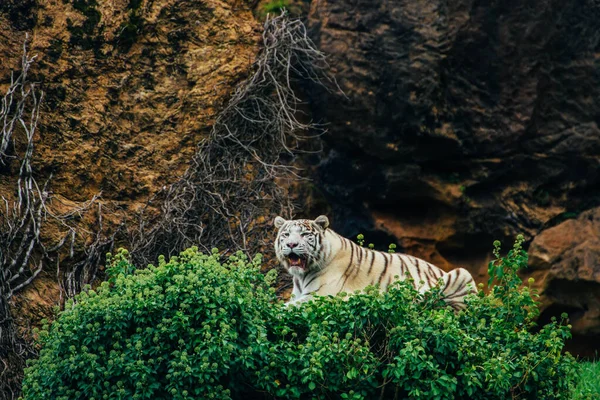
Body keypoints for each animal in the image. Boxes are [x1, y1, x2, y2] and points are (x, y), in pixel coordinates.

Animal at [274, 214, 476, 310]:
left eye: (304, 234)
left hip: (462, 273)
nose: (291, 244)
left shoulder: (320, 296)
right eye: (286, 234)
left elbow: (284, 308)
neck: (301, 276)